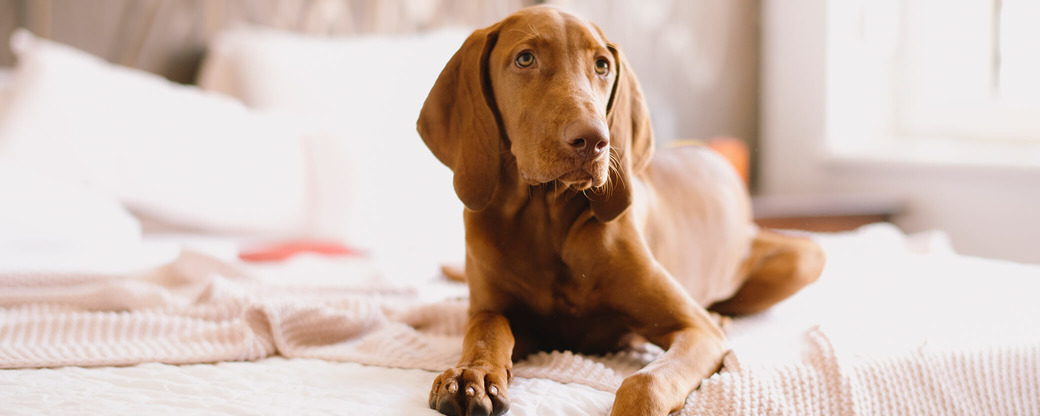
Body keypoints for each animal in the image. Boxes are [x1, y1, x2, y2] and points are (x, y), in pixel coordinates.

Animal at [418, 6, 823, 416]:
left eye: (602, 65)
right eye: (525, 59)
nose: (594, 140)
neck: (545, 220)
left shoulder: (696, 331)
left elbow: (646, 381)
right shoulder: (500, 312)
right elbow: (485, 327)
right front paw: (473, 374)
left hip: (805, 259)